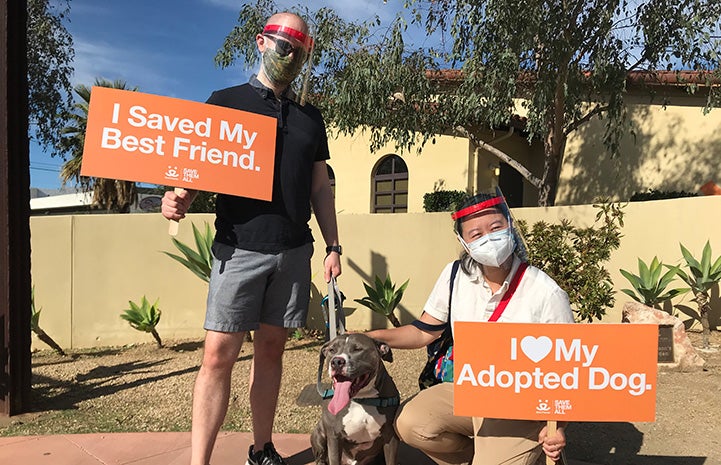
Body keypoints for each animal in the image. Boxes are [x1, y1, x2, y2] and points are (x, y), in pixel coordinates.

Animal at [310, 332, 400, 464]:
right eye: (332, 350)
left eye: (358, 349)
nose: (336, 361)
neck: (361, 399)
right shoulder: (334, 437)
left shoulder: (390, 436)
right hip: (319, 434)